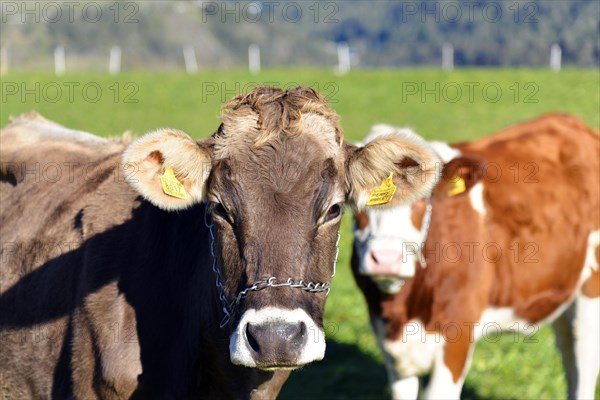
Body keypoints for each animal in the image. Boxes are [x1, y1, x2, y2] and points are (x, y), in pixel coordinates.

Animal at [352, 114, 600, 398]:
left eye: (423, 199)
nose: (385, 259)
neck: (402, 308)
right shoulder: (389, 343)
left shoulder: (457, 336)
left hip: (591, 293)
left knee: (585, 364)